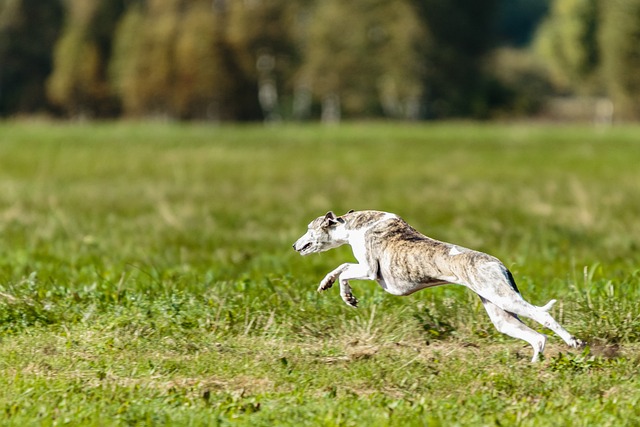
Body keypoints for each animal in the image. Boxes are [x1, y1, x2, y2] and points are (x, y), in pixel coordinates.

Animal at [296, 210, 584, 362]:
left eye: (309, 227)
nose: (294, 245)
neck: (355, 224)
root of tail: (498, 264)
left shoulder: (369, 270)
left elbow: (345, 268)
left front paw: (345, 294)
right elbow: (342, 267)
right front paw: (332, 286)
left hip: (503, 297)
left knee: (543, 317)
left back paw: (573, 341)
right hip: (500, 313)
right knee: (537, 337)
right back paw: (535, 365)